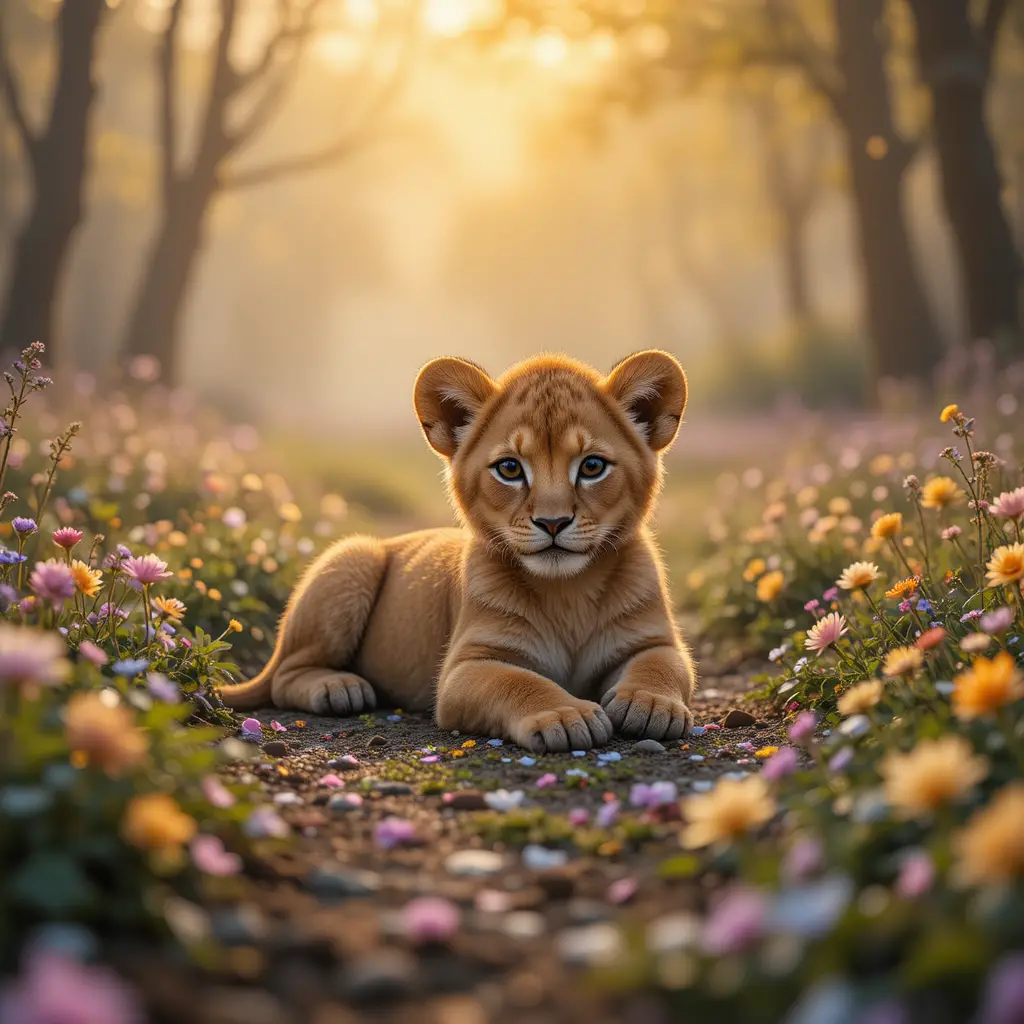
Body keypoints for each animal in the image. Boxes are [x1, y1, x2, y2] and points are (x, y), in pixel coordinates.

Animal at [219, 350, 696, 752]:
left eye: (592, 466)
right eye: (510, 469)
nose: (553, 522)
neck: (567, 592)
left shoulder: (653, 639)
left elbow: (663, 666)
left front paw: (650, 704)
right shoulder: (464, 669)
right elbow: (518, 683)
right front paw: (564, 714)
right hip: (353, 559)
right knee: (284, 675)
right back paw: (339, 688)